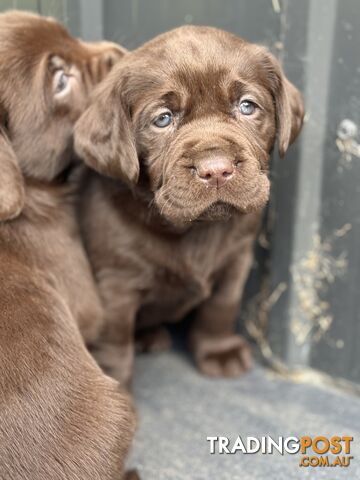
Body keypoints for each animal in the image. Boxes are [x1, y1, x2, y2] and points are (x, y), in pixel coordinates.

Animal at [75, 26, 304, 386]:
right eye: (162, 119)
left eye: (247, 106)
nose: (216, 169)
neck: (193, 228)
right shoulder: (114, 282)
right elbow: (114, 340)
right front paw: (114, 384)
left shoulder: (237, 259)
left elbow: (222, 306)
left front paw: (219, 351)